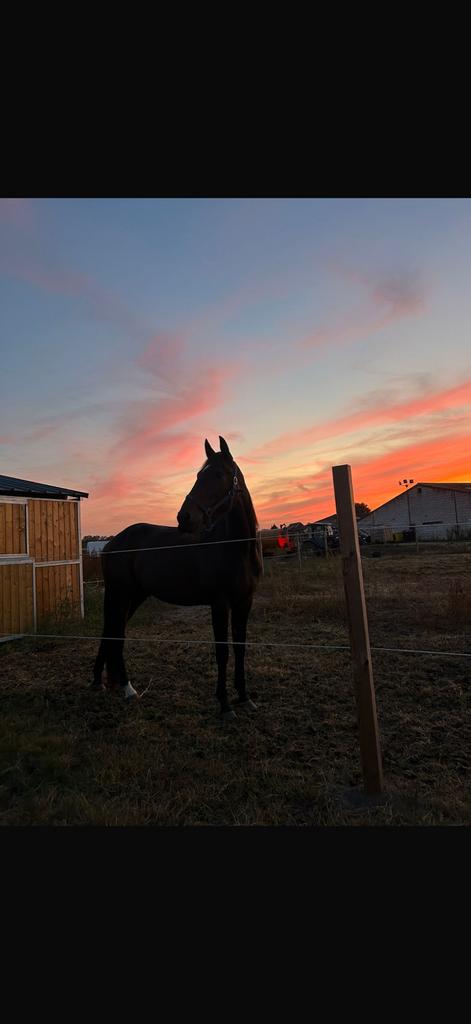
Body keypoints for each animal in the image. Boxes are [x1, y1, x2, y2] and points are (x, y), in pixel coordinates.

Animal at [91, 436, 262, 718]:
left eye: (218, 474)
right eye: (198, 475)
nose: (184, 517)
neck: (235, 548)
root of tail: (111, 543)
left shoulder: (244, 602)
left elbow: (240, 647)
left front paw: (245, 696)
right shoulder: (220, 604)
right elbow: (223, 651)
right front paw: (225, 705)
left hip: (134, 596)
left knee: (113, 631)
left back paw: (102, 682)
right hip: (120, 593)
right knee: (115, 633)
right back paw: (127, 688)